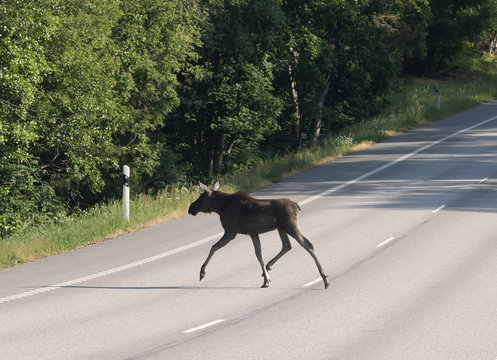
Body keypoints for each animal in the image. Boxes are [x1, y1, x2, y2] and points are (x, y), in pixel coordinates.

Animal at [187, 181, 330, 288]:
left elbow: (213, 247)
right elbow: (258, 253)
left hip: (291, 226)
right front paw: (266, 279)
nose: (190, 208)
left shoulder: (230, 231)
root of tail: (297, 206)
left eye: (200, 198)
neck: (220, 207)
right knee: (287, 245)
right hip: (281, 228)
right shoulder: (253, 232)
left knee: (308, 245)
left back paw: (325, 279)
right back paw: (269, 266)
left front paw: (202, 272)